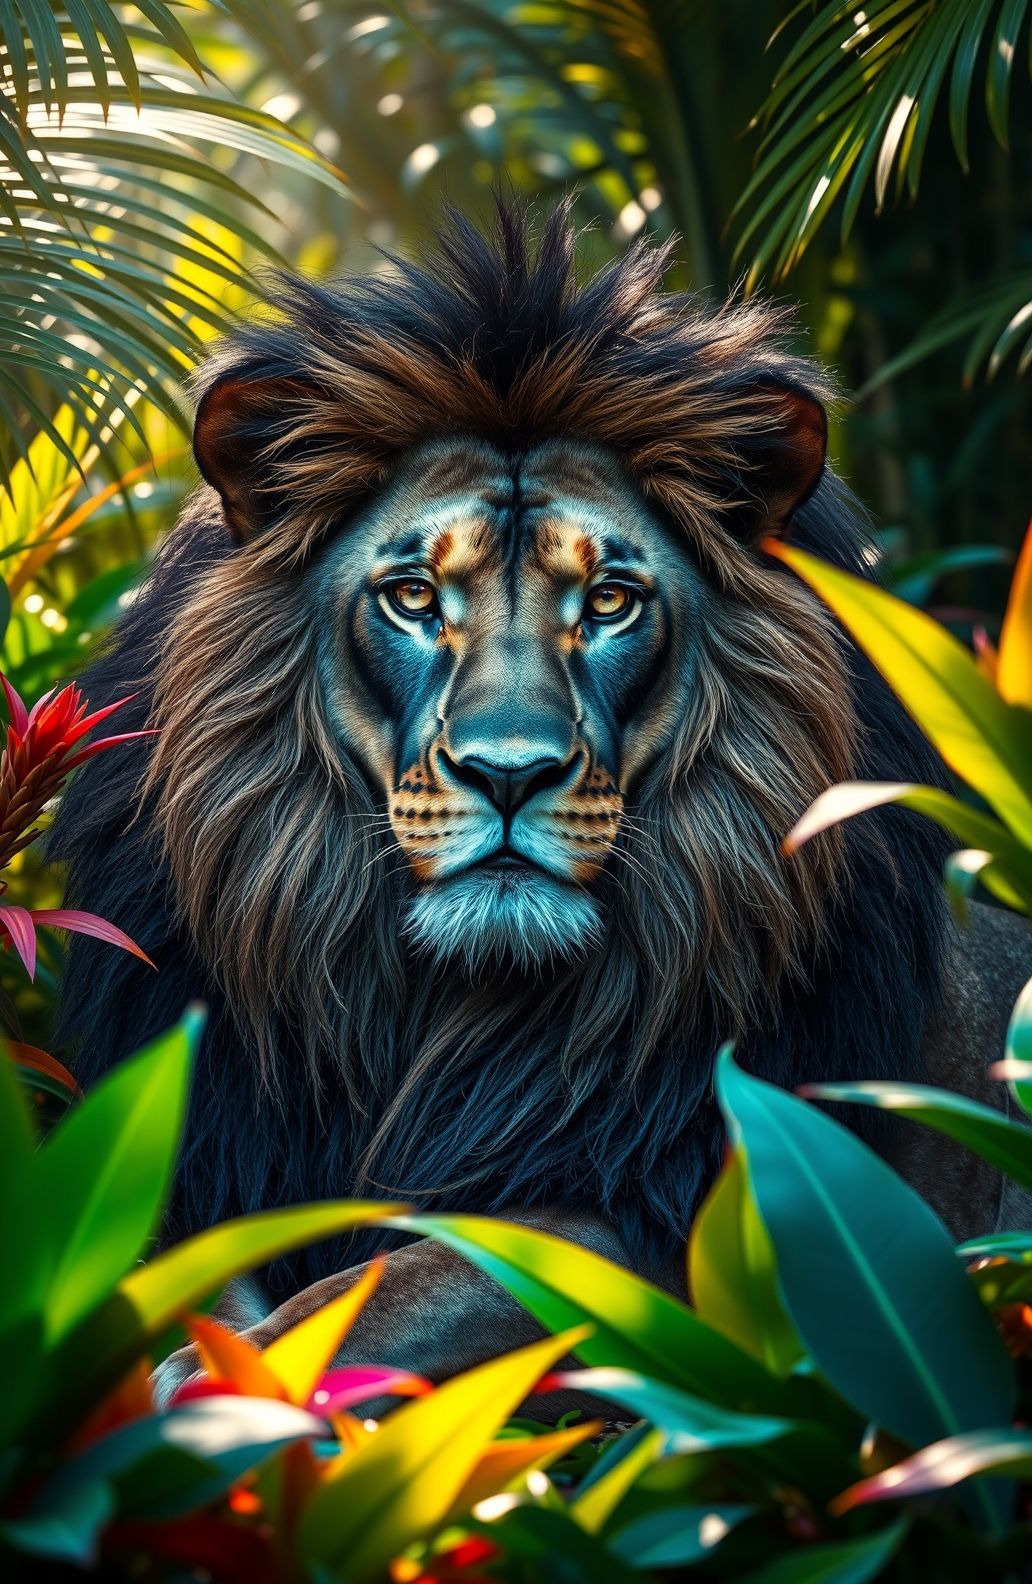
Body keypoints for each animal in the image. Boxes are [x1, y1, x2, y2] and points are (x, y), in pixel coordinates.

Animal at [52, 200, 1032, 1396]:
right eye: (413, 597)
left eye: (609, 601)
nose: (509, 773)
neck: (429, 1000)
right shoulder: (208, 1163)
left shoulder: (677, 1213)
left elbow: (381, 1285)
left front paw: (233, 1394)